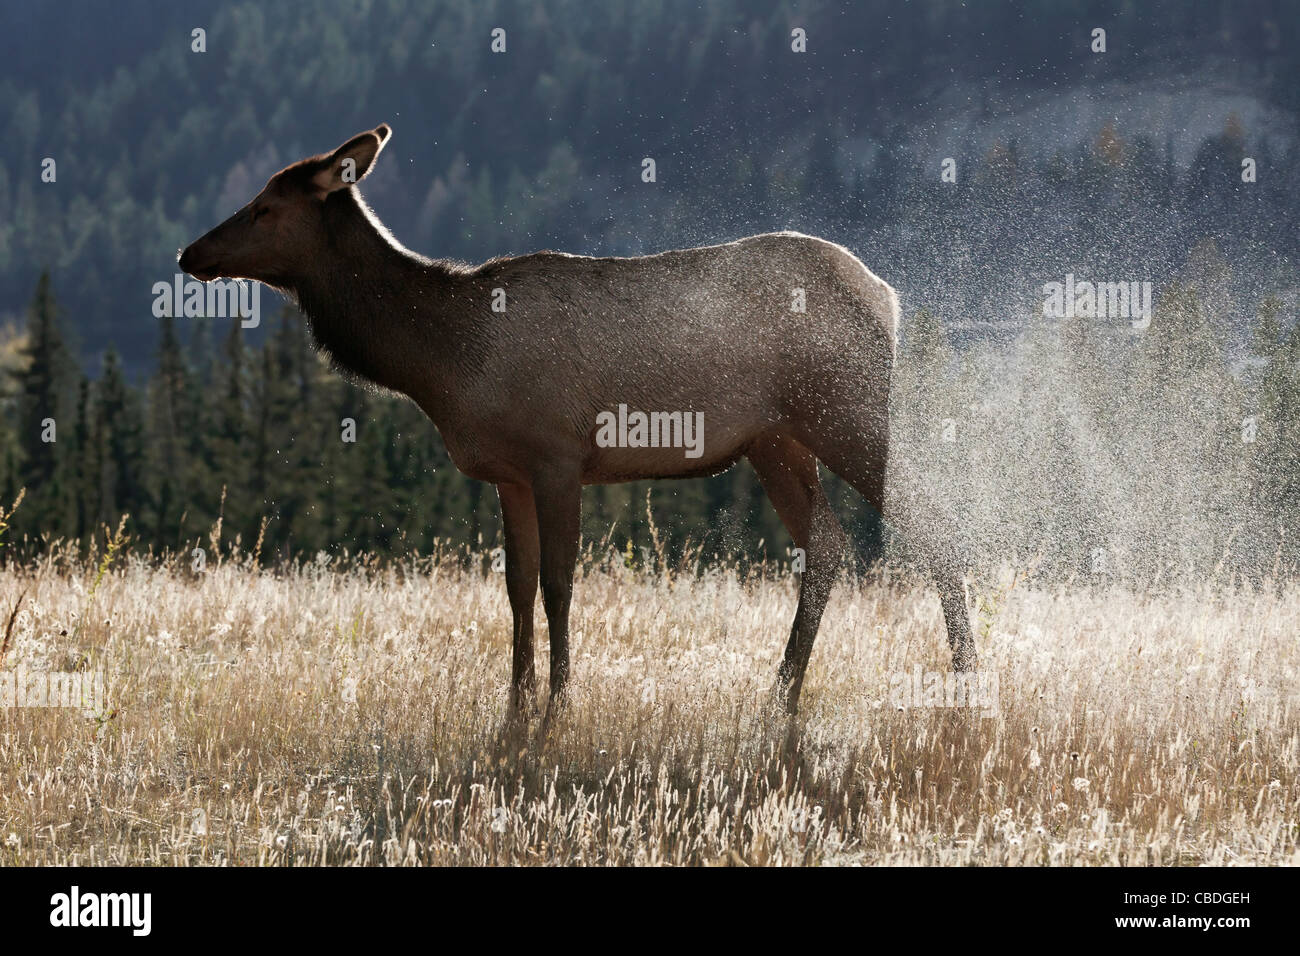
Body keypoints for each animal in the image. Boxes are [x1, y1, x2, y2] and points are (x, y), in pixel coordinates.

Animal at [180, 125, 977, 717]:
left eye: (264, 206)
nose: (190, 252)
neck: (447, 361)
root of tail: (888, 295)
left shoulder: (558, 455)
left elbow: (560, 583)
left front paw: (559, 705)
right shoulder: (507, 475)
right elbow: (516, 585)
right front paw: (514, 704)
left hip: (845, 405)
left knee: (934, 518)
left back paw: (966, 680)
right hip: (775, 439)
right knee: (829, 542)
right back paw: (778, 695)